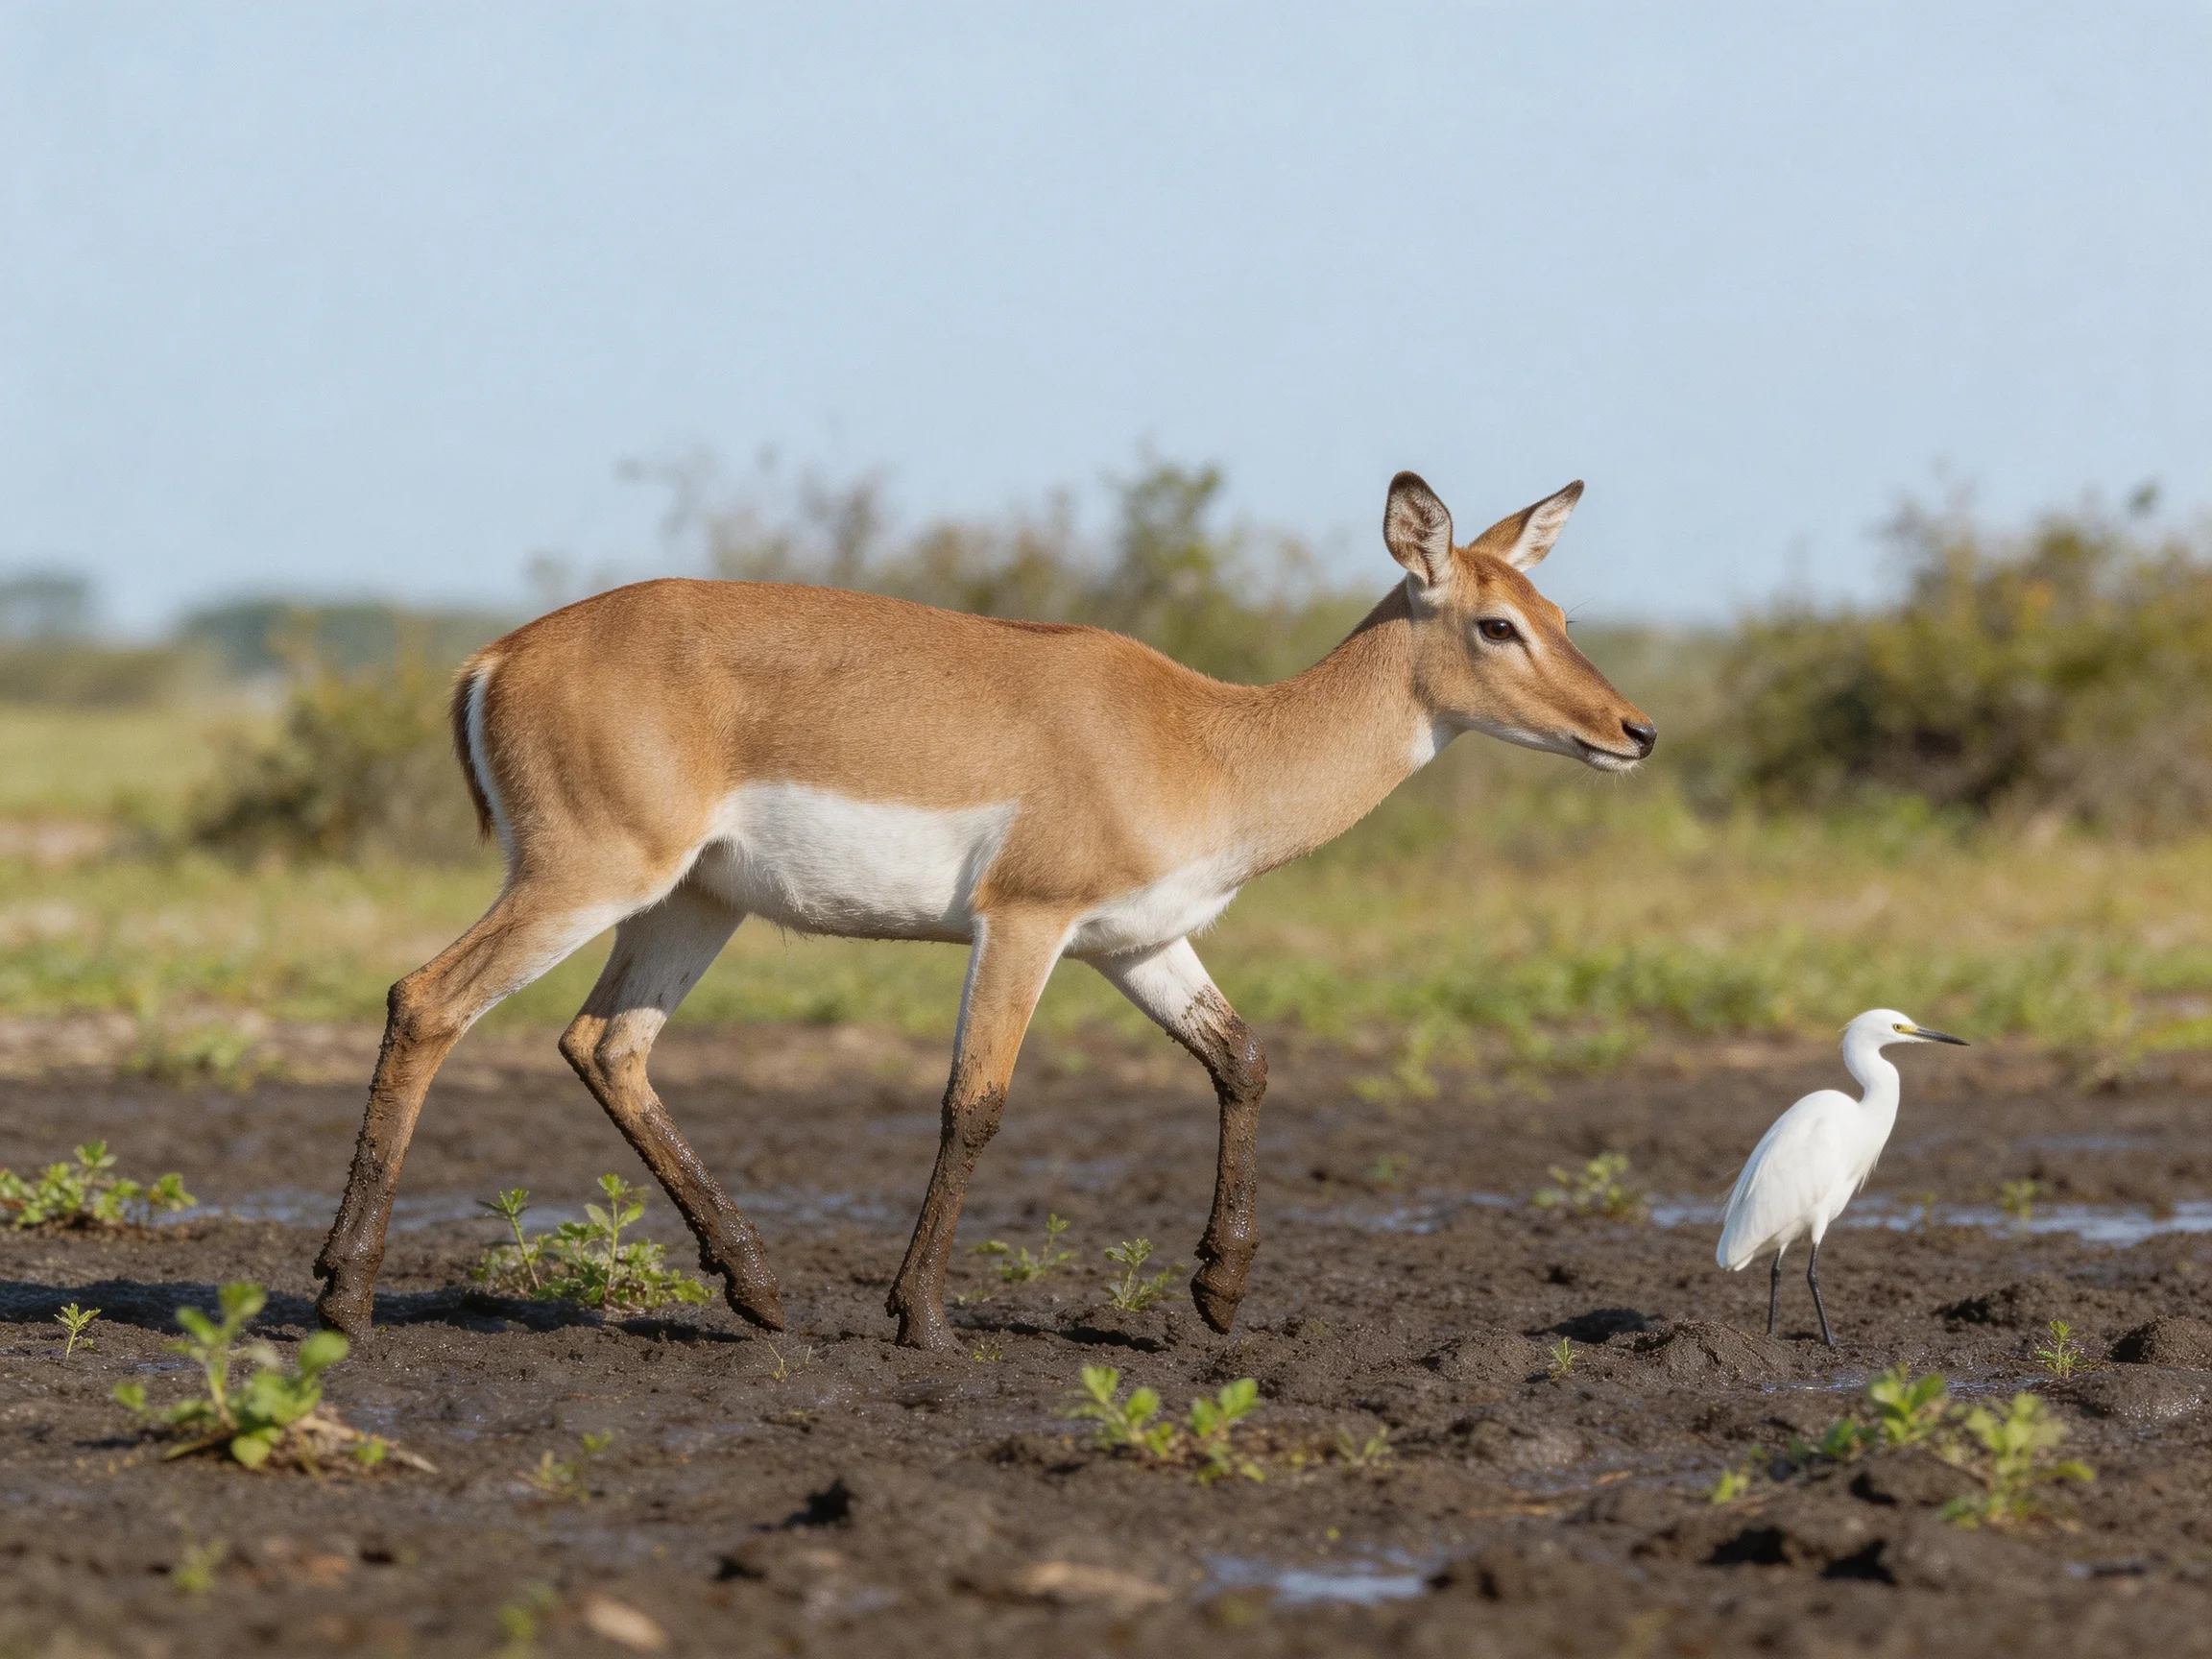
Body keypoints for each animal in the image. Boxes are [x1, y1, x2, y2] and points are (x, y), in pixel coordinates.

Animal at [313, 471, 1654, 1351]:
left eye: (1561, 617)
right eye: (1496, 623)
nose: (1634, 731)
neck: (1210, 740)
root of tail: (496, 657)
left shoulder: (1142, 943)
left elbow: (1245, 1062)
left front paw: (1218, 1295)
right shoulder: (1025, 922)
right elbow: (977, 1104)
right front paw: (923, 1319)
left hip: (687, 905)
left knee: (605, 1044)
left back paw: (758, 1292)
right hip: (583, 878)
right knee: (427, 1001)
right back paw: (343, 1296)